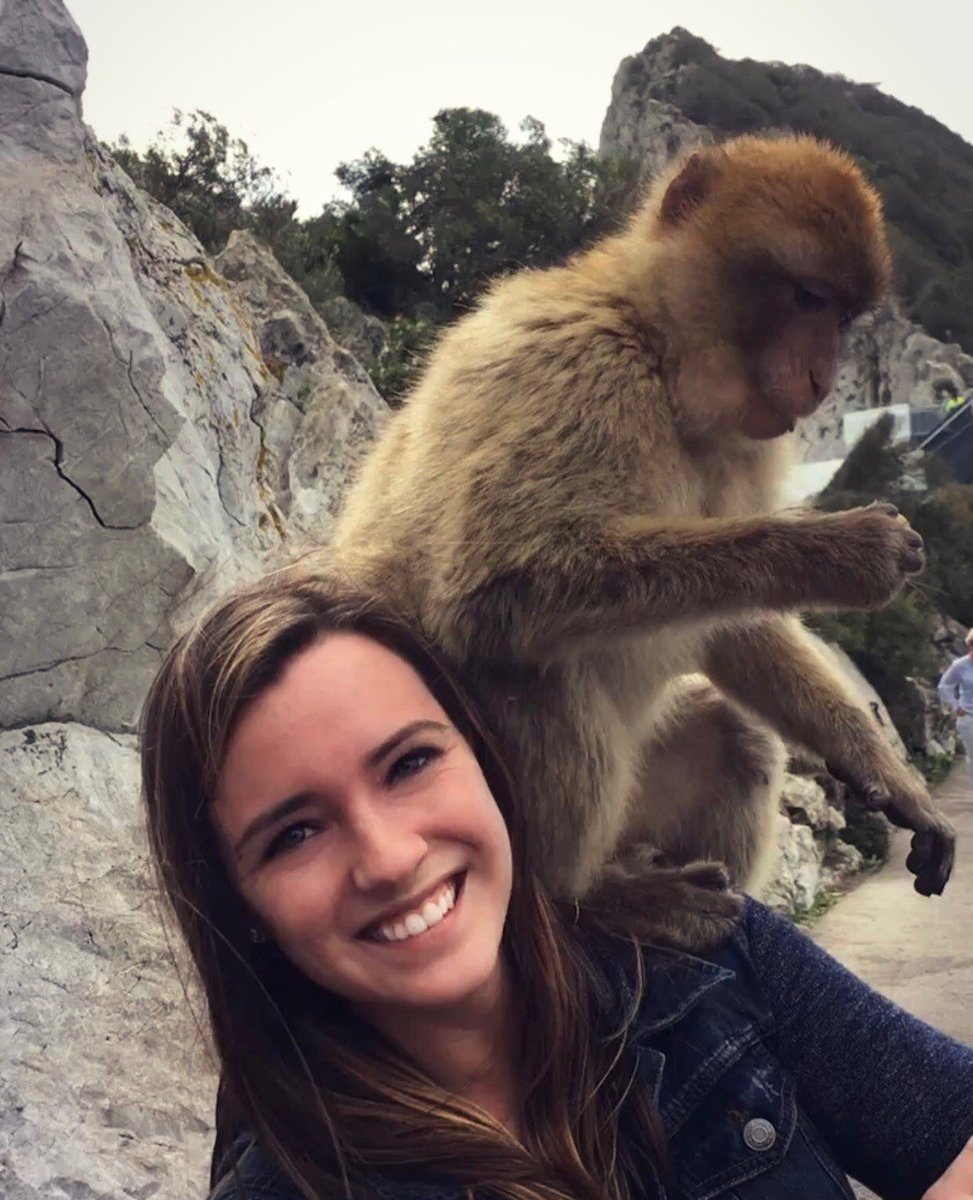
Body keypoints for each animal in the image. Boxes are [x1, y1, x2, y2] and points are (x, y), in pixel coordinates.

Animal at [331, 134, 955, 949]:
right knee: (526, 667)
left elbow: (735, 624)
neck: (661, 354)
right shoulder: (577, 368)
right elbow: (489, 585)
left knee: (736, 736)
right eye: (807, 299)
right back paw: (589, 897)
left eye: (842, 316)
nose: (822, 379)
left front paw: (883, 770)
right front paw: (843, 553)